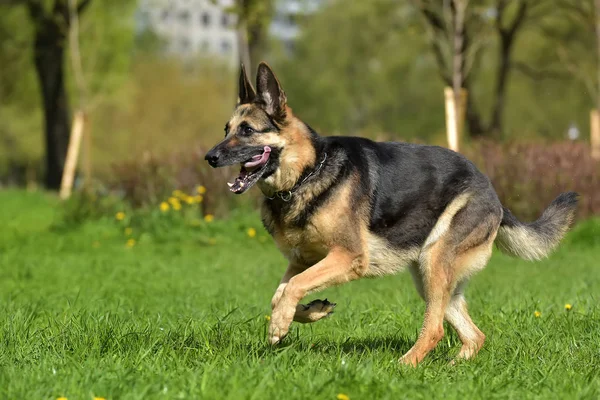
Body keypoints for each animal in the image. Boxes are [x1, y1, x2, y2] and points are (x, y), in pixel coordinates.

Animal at [205, 61, 576, 366]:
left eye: (247, 130)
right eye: (225, 130)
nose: (209, 157)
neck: (307, 173)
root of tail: (493, 193)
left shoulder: (347, 257)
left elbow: (291, 288)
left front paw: (279, 326)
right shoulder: (303, 260)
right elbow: (280, 293)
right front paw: (310, 312)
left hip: (434, 264)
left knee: (435, 329)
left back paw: (405, 366)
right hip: (429, 276)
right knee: (473, 334)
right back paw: (454, 366)